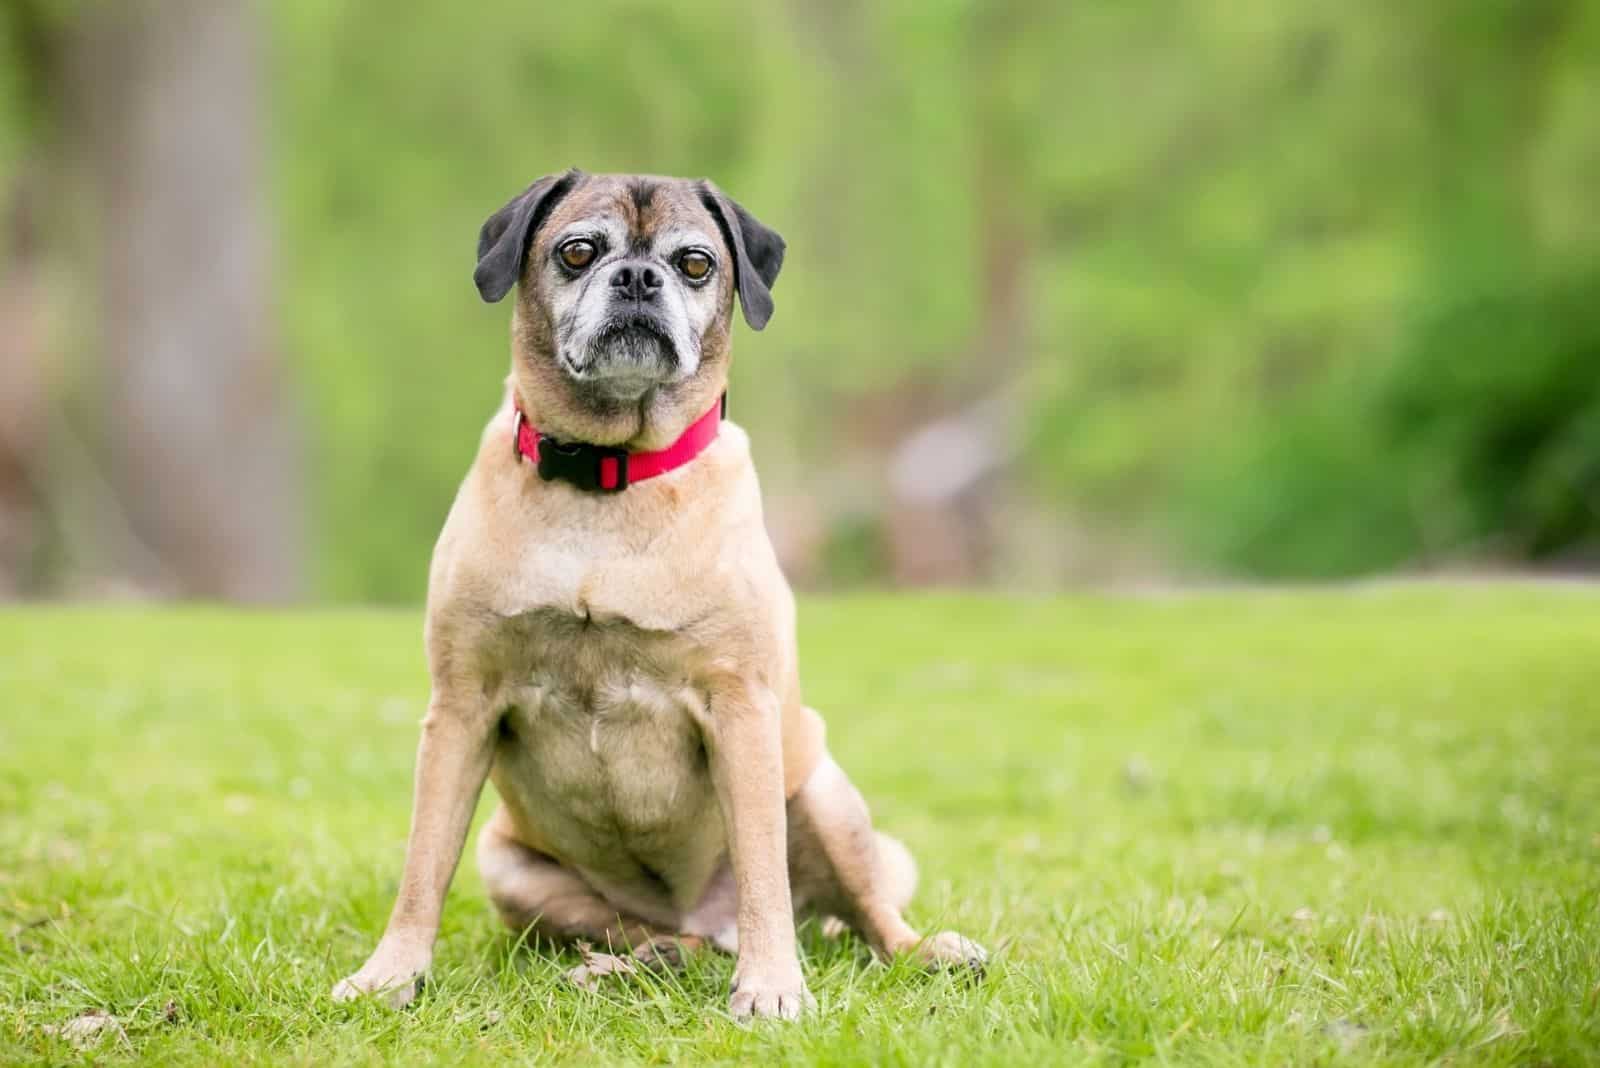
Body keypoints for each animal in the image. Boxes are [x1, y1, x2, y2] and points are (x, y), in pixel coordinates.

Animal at [334, 171, 985, 1023]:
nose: (640, 277)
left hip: (823, 795)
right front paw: (390, 975)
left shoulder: (740, 710)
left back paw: (928, 951)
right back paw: (629, 964)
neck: (608, 478)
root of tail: (704, 922)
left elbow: (766, 878)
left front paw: (772, 988)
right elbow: (421, 870)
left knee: (866, 915)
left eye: (695, 263)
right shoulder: (460, 708)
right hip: (515, 870)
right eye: (578, 252)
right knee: (660, 939)